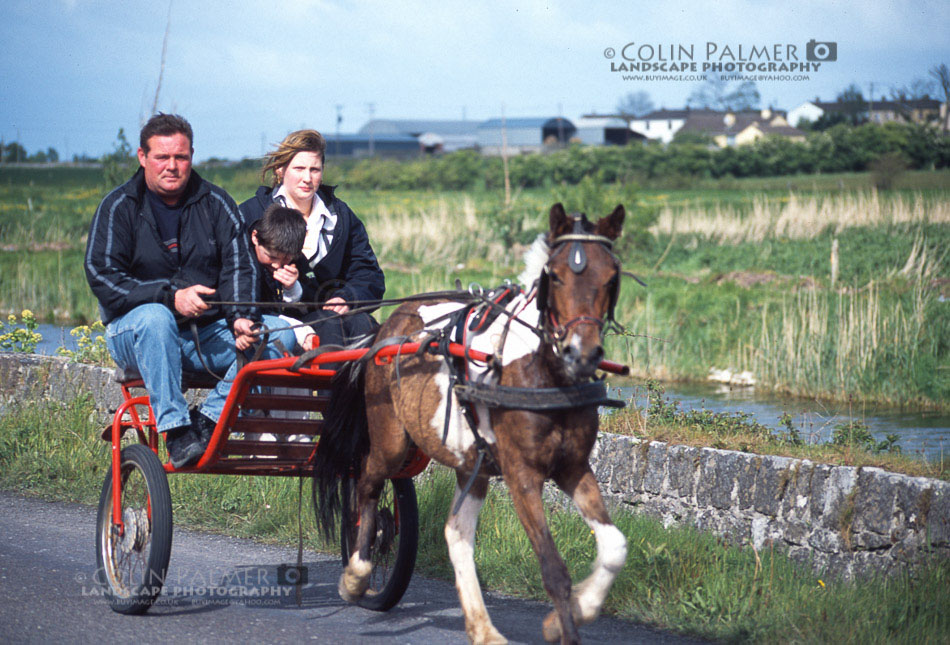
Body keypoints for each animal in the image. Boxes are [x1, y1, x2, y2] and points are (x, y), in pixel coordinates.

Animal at [316, 203, 632, 644]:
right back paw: (357, 575)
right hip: (391, 442)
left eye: (611, 277)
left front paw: (574, 611)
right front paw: (564, 623)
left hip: (473, 463)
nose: (581, 353)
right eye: (556, 276)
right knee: (366, 484)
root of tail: (385, 330)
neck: (542, 372)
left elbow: (615, 547)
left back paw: (482, 628)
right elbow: (553, 570)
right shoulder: (522, 475)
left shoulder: (573, 467)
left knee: (456, 533)